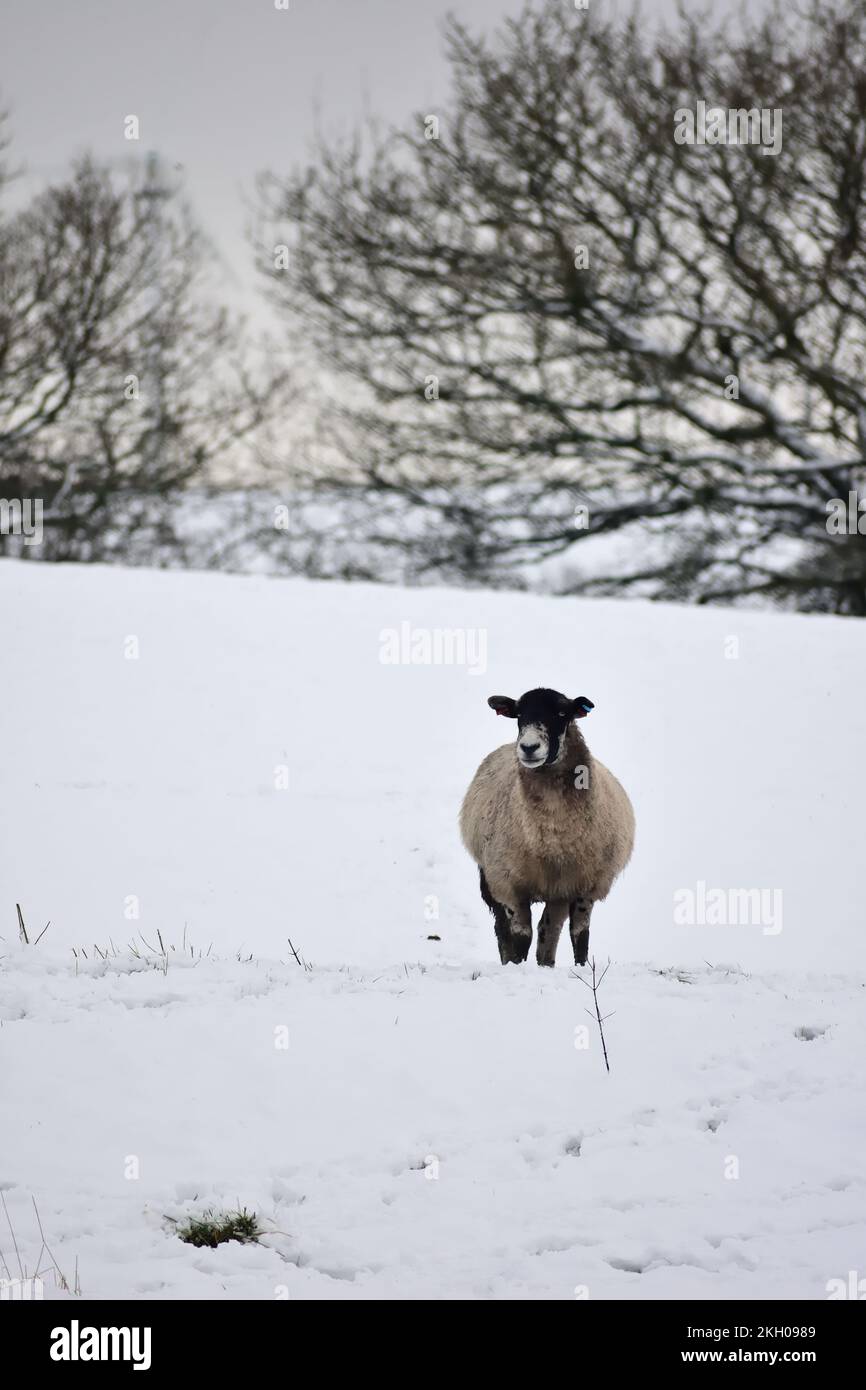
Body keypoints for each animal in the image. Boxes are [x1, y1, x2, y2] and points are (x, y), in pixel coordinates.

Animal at [460, 687, 634, 967]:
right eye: (519, 715)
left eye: (562, 713)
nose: (529, 747)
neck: (554, 834)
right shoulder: (510, 884)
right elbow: (521, 936)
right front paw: (518, 966)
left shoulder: (585, 884)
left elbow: (580, 934)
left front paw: (581, 968)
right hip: (490, 878)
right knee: (504, 929)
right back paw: (511, 961)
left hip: (558, 891)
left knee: (549, 928)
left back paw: (546, 964)